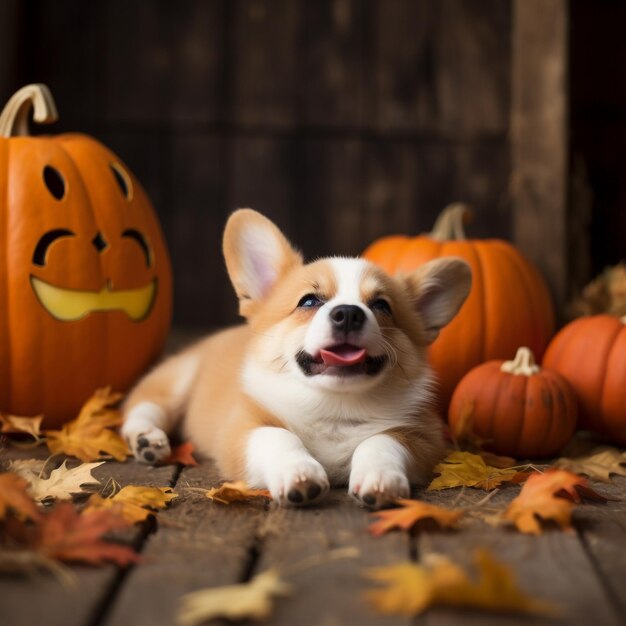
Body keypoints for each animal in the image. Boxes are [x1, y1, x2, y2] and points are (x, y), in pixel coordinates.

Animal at [122, 210, 468, 508]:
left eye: (381, 306)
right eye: (309, 301)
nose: (348, 314)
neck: (335, 405)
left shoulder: (423, 437)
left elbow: (382, 441)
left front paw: (381, 479)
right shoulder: (241, 429)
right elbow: (279, 436)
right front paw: (300, 474)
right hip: (178, 380)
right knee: (143, 406)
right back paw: (146, 439)